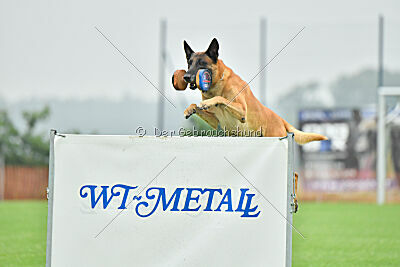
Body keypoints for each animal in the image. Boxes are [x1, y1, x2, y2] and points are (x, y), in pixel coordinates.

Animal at [181, 38, 328, 144]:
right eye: (189, 63)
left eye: (202, 64)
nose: (186, 77)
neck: (217, 85)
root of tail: (280, 119)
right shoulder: (216, 121)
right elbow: (196, 106)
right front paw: (190, 109)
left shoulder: (242, 111)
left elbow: (221, 99)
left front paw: (208, 102)